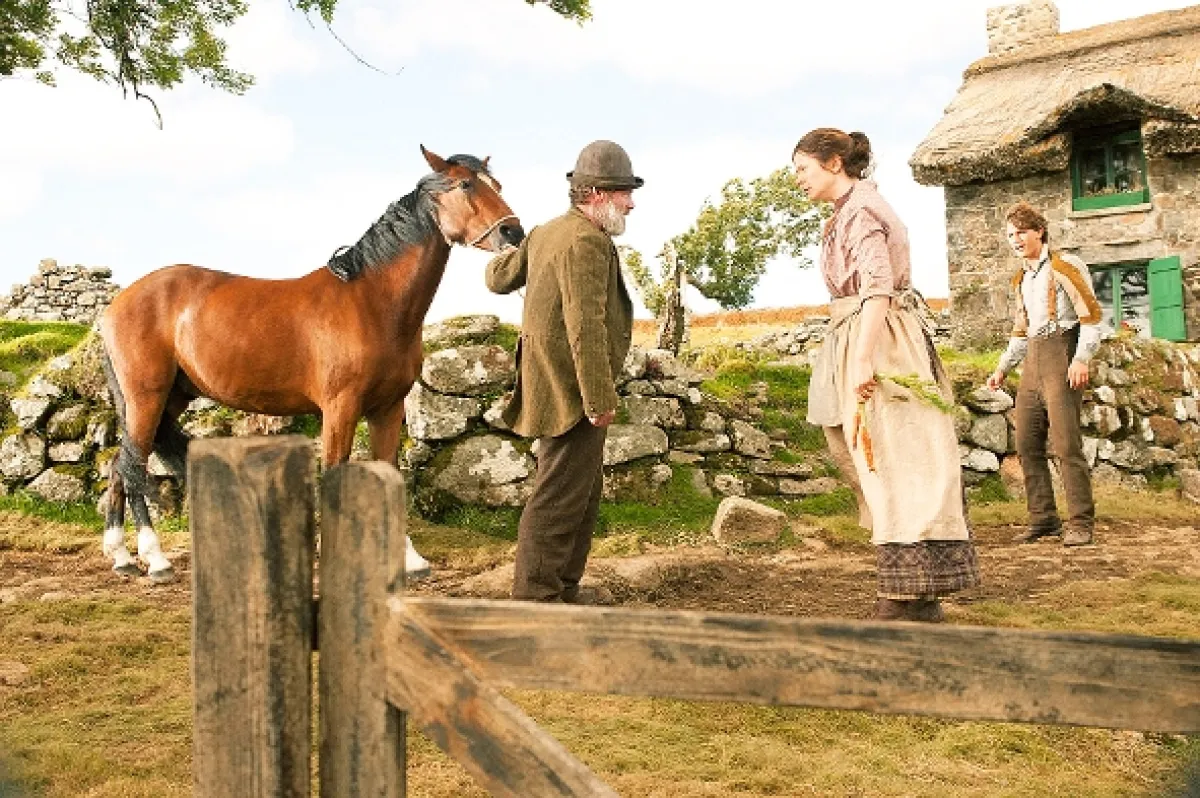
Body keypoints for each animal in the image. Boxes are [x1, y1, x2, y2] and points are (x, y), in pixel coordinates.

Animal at [97, 146, 524, 583]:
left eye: (497, 184)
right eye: (466, 184)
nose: (514, 233)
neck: (372, 303)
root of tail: (117, 304)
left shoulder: (388, 408)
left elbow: (391, 472)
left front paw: (410, 561)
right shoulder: (340, 408)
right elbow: (334, 470)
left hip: (169, 398)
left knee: (117, 465)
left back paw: (121, 555)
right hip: (146, 398)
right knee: (133, 467)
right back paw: (155, 559)